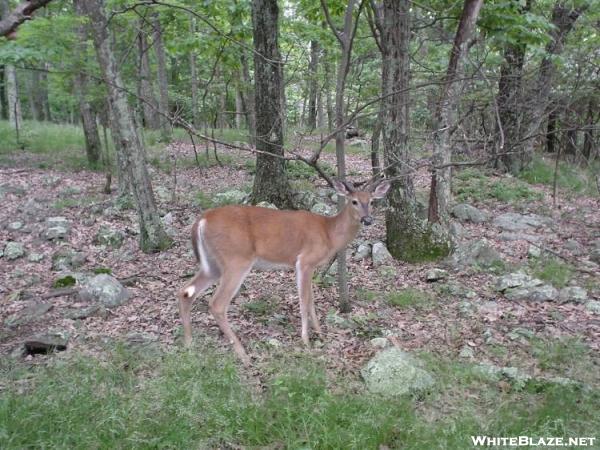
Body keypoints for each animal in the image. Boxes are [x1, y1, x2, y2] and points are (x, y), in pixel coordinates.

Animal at [177, 178, 394, 364]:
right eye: (354, 201)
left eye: (372, 201)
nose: (367, 219)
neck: (329, 233)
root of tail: (201, 220)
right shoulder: (304, 261)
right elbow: (304, 301)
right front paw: (305, 341)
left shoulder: (310, 266)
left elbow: (311, 300)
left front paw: (320, 334)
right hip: (236, 260)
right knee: (217, 303)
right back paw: (242, 354)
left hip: (212, 264)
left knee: (186, 291)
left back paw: (189, 344)